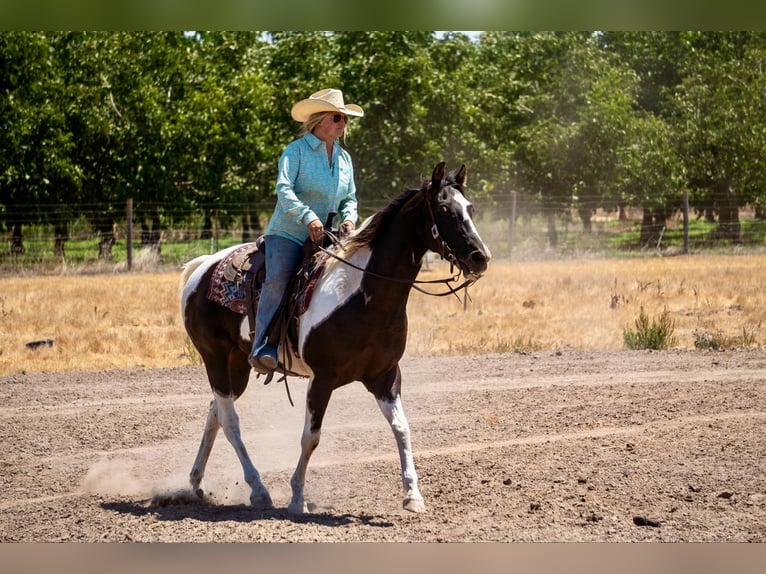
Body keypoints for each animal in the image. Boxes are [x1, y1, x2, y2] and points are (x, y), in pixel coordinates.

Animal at [177, 162, 491, 515]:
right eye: (443, 208)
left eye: (470, 208)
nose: (480, 257)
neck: (364, 297)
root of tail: (203, 267)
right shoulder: (322, 379)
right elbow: (310, 437)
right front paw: (297, 498)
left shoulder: (385, 376)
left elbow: (402, 428)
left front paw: (413, 495)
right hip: (214, 357)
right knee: (231, 422)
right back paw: (258, 489)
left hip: (238, 365)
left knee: (215, 413)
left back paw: (197, 483)